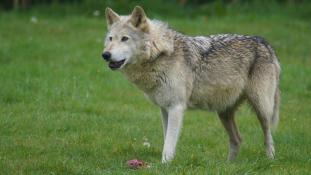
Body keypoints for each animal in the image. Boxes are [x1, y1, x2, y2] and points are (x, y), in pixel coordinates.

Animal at [101, 5, 282, 164]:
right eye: (110, 38)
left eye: (125, 38)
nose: (105, 54)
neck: (160, 54)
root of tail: (265, 43)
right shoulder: (164, 109)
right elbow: (166, 139)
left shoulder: (176, 107)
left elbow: (169, 144)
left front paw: (164, 165)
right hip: (224, 113)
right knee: (237, 139)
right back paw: (228, 165)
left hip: (262, 109)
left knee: (268, 137)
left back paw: (270, 160)